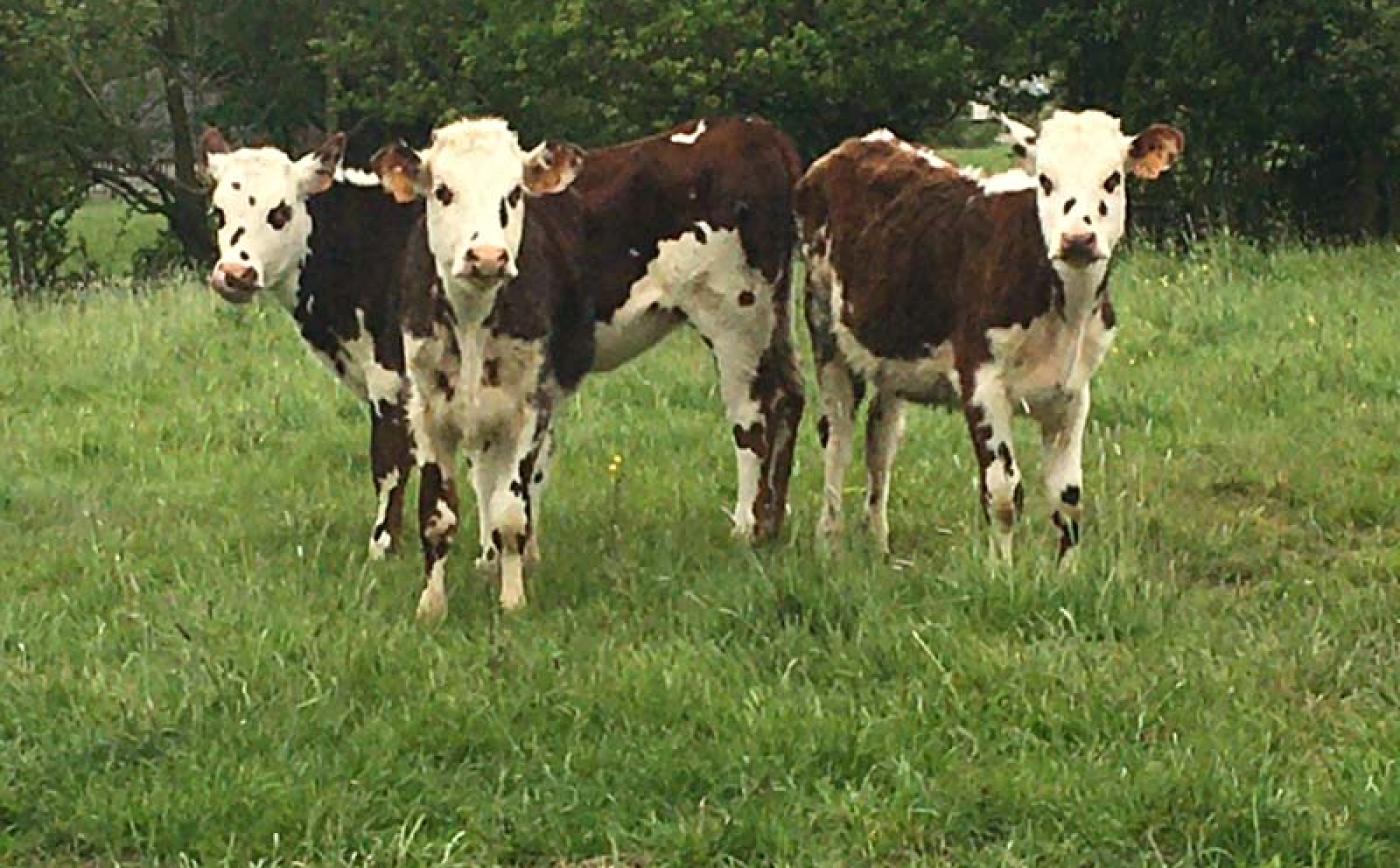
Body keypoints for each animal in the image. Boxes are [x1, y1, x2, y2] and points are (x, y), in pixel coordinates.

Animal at [200, 129, 420, 562]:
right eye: (218, 213)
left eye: (280, 213)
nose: (235, 274)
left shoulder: (390, 375)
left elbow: (389, 462)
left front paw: (383, 546)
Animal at [372, 115, 812, 621]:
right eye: (442, 190)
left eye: (514, 192)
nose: (488, 257)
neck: (470, 321)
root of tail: (755, 129)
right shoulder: (429, 408)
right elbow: (441, 512)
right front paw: (436, 602)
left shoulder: (530, 405)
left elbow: (510, 510)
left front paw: (512, 599)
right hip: (770, 318)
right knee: (790, 397)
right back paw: (771, 524)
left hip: (737, 320)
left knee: (753, 418)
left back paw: (746, 527)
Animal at [800, 108, 1181, 562]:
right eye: (1045, 180)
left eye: (1112, 179)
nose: (1077, 239)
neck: (1063, 310)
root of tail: (854, 146)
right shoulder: (981, 383)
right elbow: (1002, 493)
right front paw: (1003, 572)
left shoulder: (1073, 393)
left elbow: (1069, 499)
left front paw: (1067, 573)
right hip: (825, 330)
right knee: (837, 433)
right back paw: (828, 541)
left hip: (891, 352)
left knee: (881, 438)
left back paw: (878, 542)